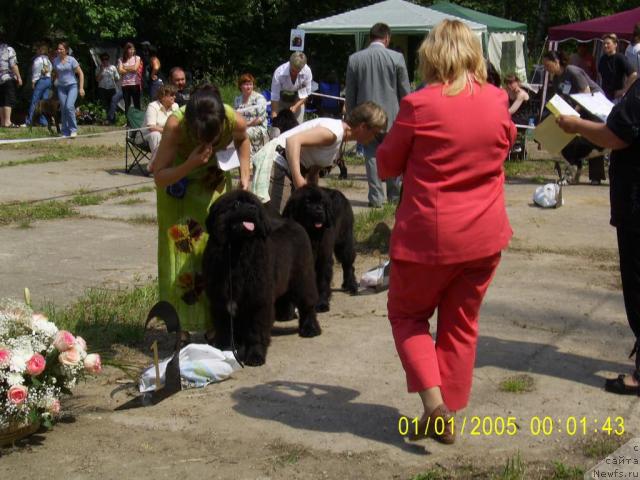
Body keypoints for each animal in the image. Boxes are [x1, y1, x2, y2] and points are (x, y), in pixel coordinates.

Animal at [202, 189, 320, 366]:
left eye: (254, 205)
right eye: (236, 204)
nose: (252, 209)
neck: (237, 251)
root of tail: (295, 223)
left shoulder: (257, 300)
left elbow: (255, 331)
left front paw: (255, 356)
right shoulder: (220, 301)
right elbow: (225, 329)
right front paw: (225, 350)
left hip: (302, 278)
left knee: (308, 304)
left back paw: (310, 329)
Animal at [282, 186, 358, 314]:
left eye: (322, 203)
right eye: (307, 202)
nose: (319, 212)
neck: (310, 234)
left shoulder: (323, 258)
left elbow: (322, 281)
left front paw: (322, 304)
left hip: (344, 242)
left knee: (348, 265)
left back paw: (351, 286)